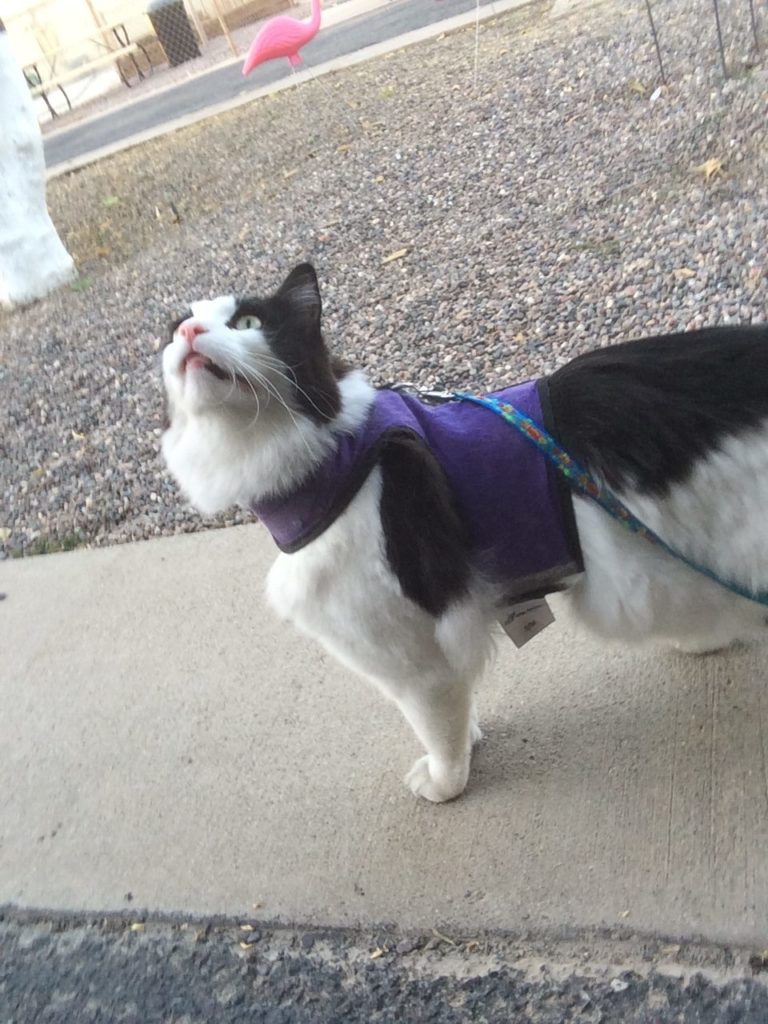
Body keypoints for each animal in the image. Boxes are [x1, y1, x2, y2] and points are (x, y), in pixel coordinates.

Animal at [159, 262, 768, 798]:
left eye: (248, 323)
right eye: (176, 328)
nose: (188, 332)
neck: (338, 460)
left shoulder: (414, 655)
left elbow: (437, 724)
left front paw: (446, 781)